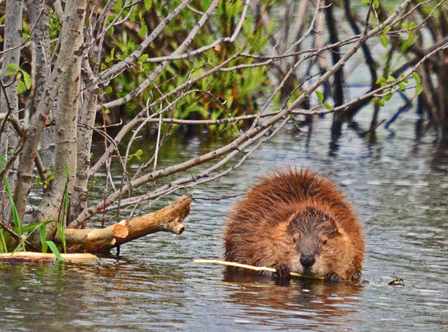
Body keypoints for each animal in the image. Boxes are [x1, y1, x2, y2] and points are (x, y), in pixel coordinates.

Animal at [223, 170, 364, 282]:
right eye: (294, 239)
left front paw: (335, 276)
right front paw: (280, 269)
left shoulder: (351, 234)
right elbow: (259, 250)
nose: (307, 259)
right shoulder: (264, 223)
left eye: (325, 241)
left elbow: (352, 260)